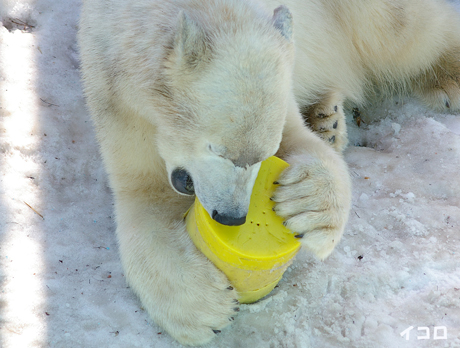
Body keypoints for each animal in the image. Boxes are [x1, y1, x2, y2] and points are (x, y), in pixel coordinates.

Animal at [79, 0, 460, 346]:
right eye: (216, 149)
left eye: (262, 156)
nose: (230, 217)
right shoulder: (115, 96)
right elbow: (145, 199)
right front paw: (207, 308)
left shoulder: (281, 77)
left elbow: (301, 144)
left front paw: (305, 202)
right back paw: (328, 120)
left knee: (399, 28)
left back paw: (446, 80)